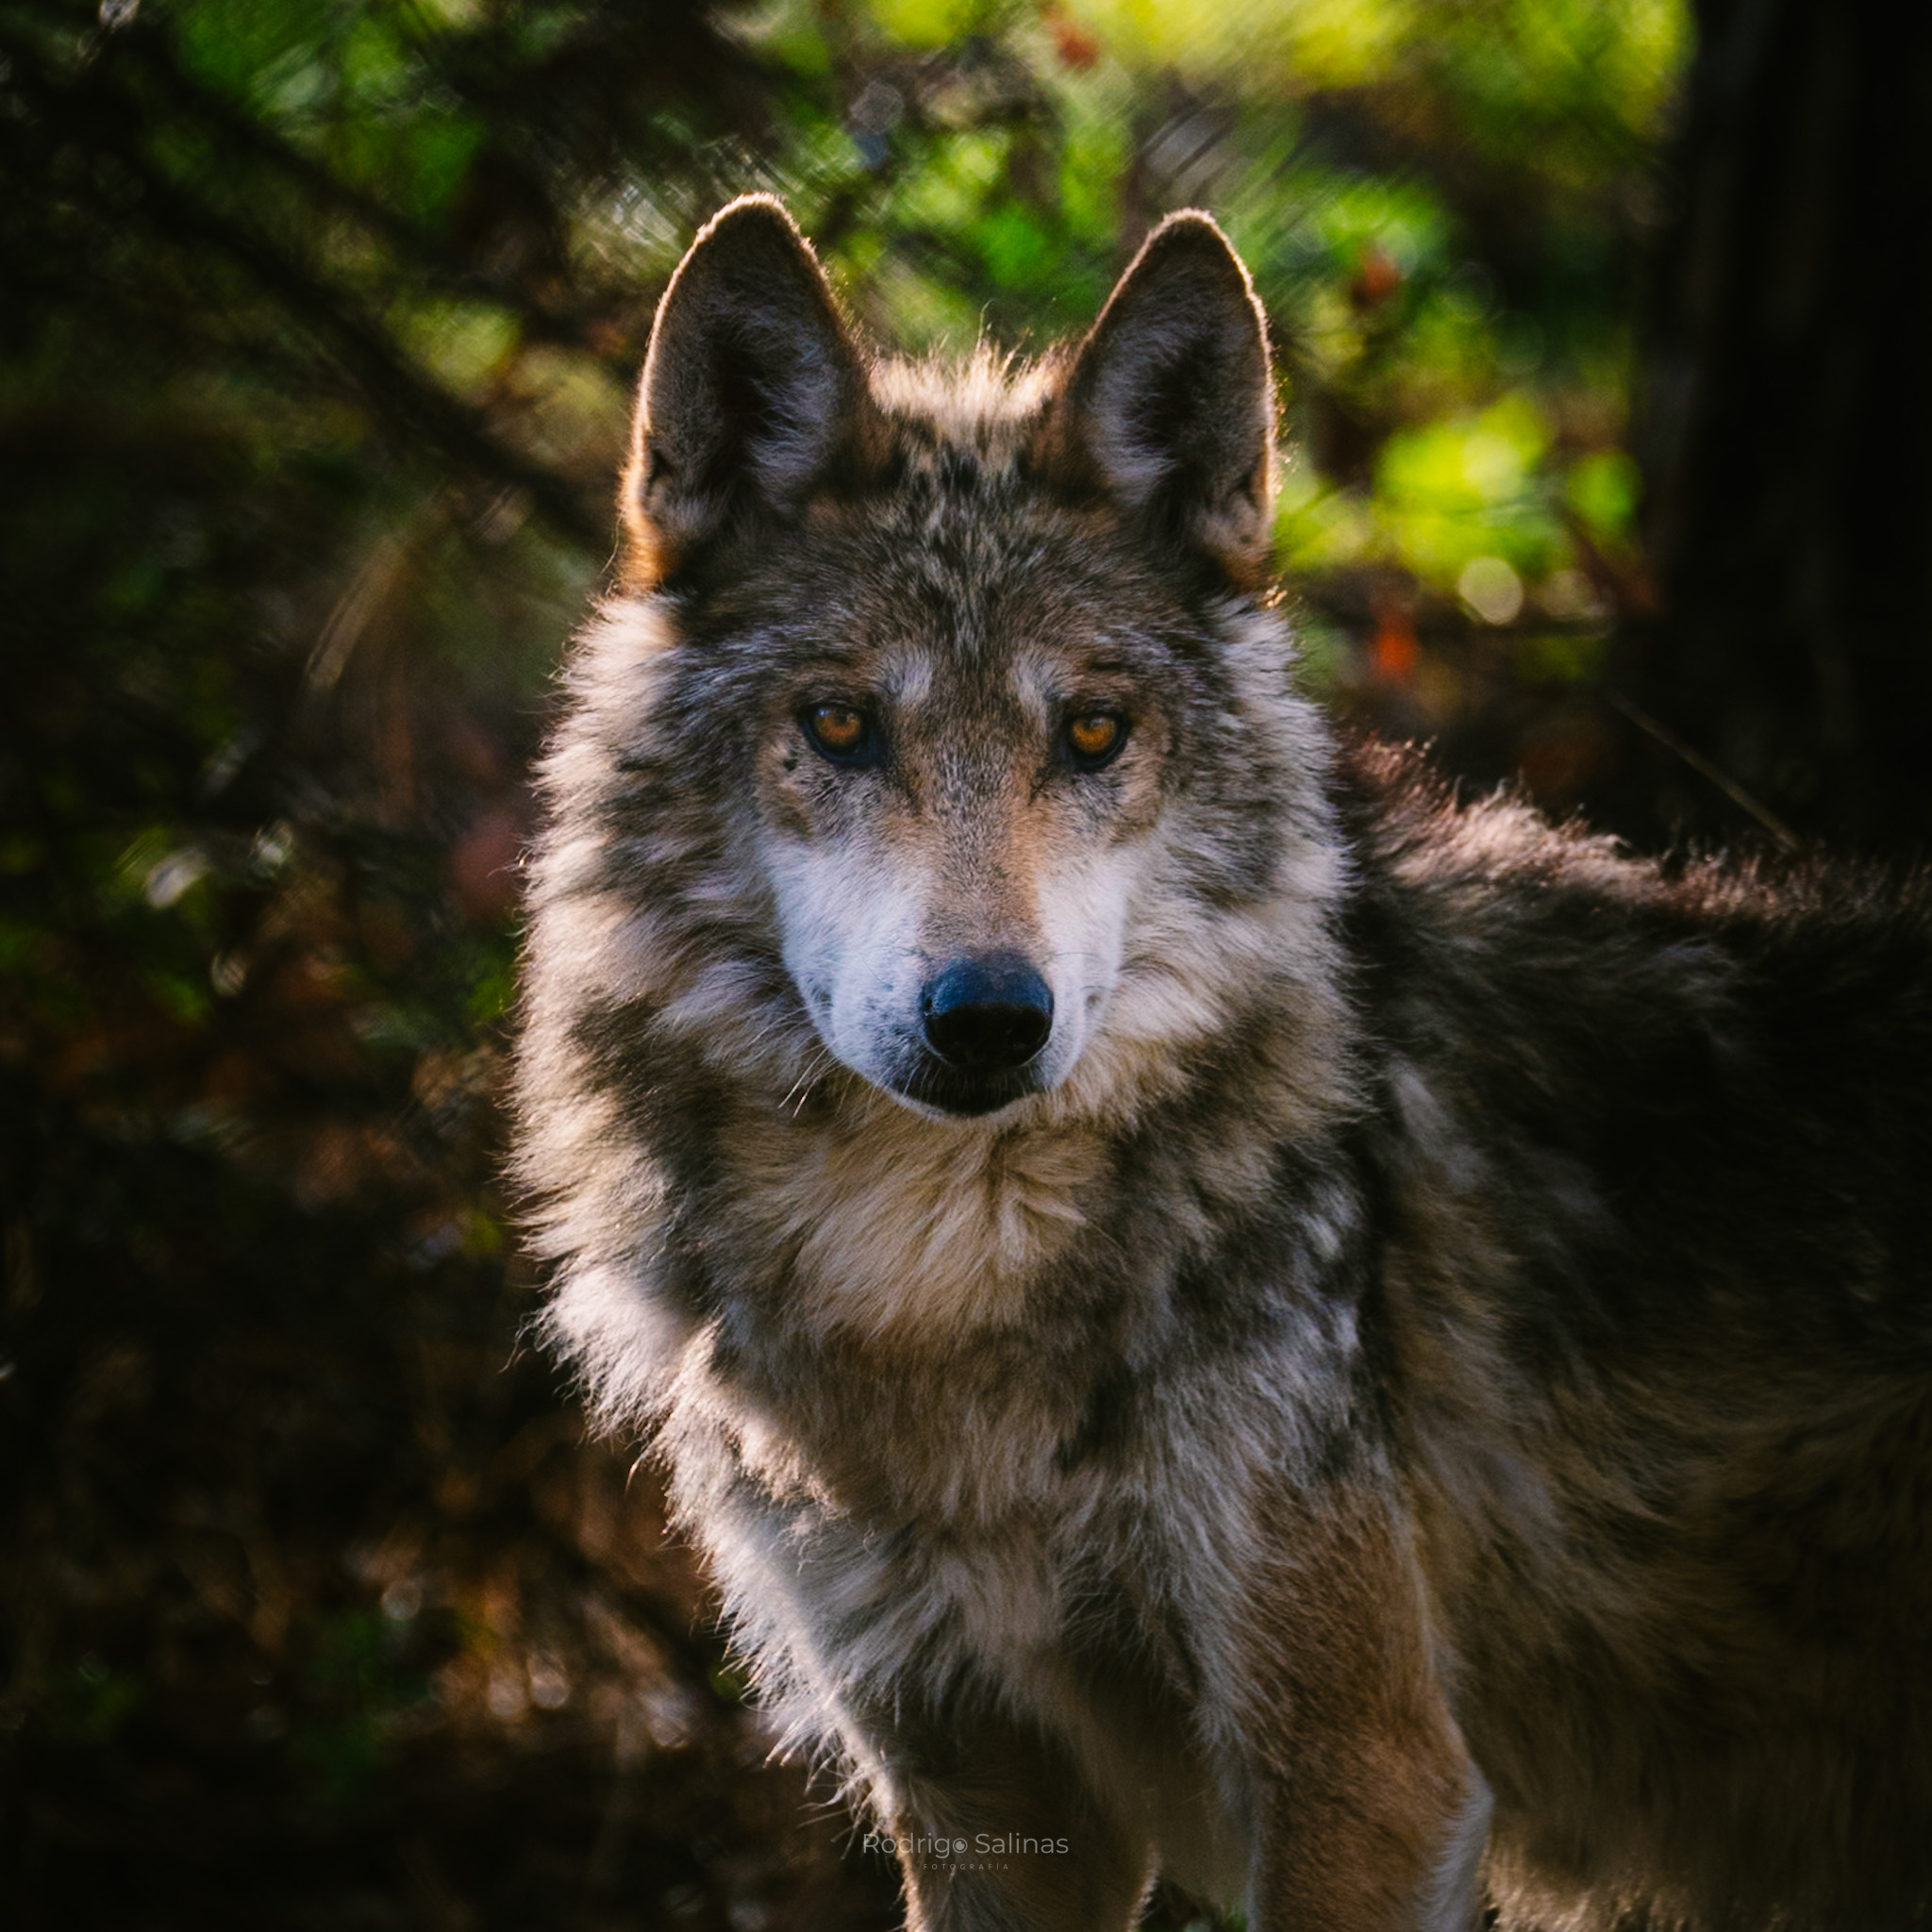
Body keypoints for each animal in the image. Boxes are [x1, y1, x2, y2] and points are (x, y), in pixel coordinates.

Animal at [512, 196, 1932, 1931]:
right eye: (840, 725)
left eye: (1094, 733)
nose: (989, 1016)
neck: (936, 1288)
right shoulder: (978, 1796)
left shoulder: (1367, 1769)